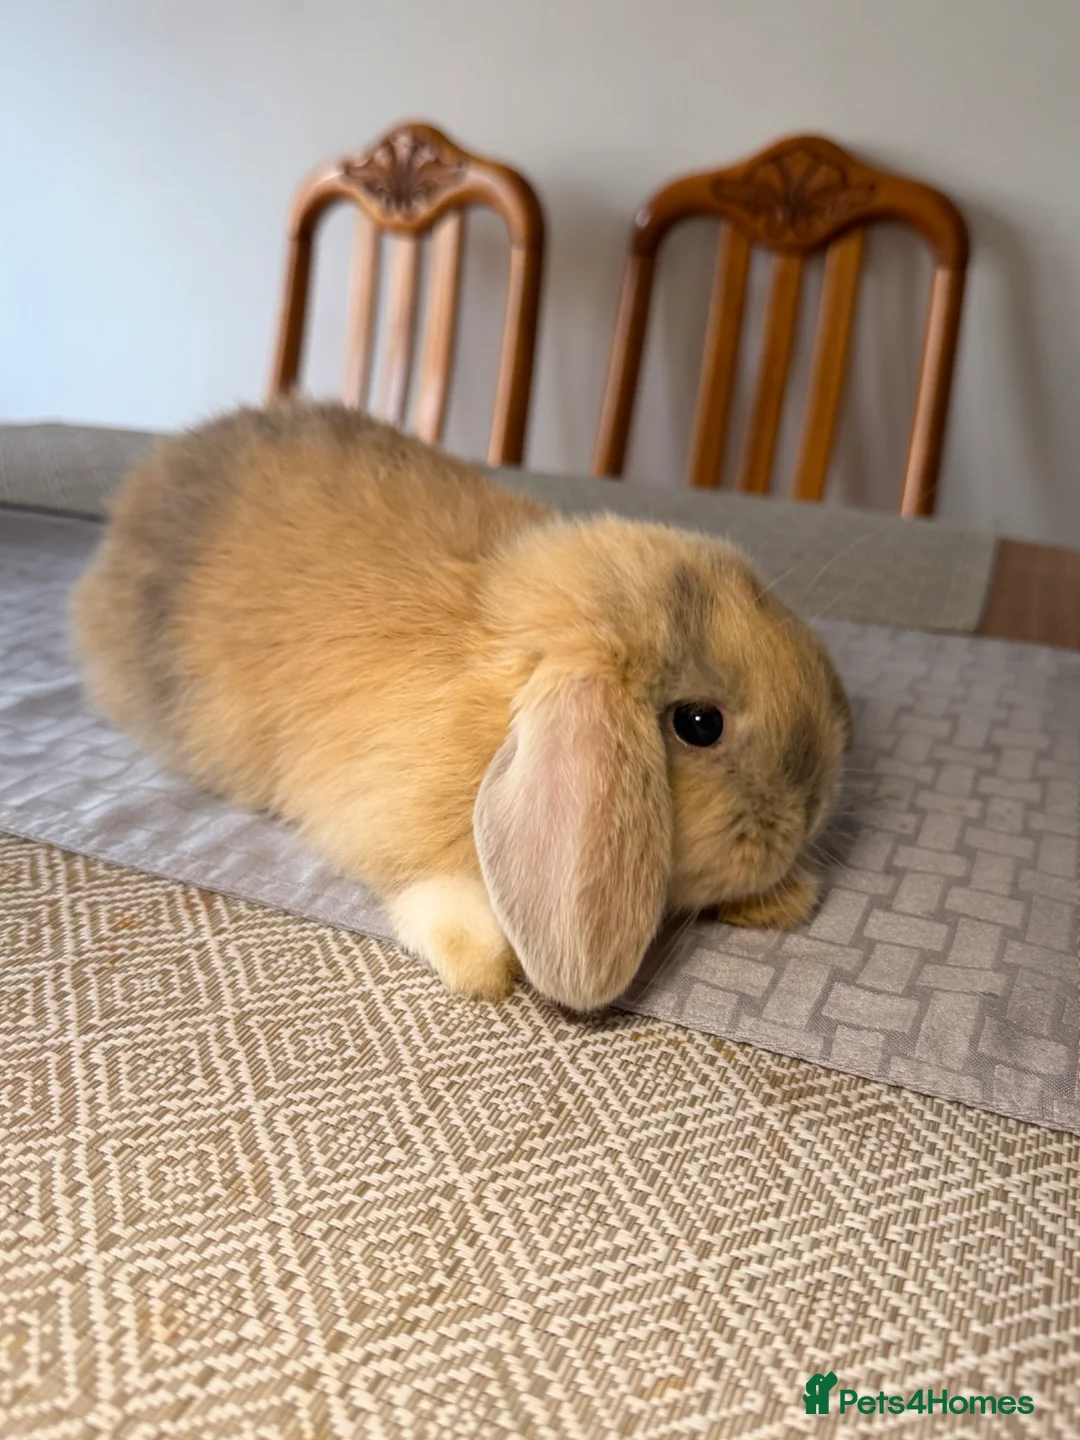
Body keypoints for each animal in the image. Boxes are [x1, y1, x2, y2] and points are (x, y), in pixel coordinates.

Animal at [71, 400, 853, 1012]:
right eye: (699, 724)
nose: (815, 808)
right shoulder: (386, 816)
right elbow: (429, 891)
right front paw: (484, 965)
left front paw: (788, 896)